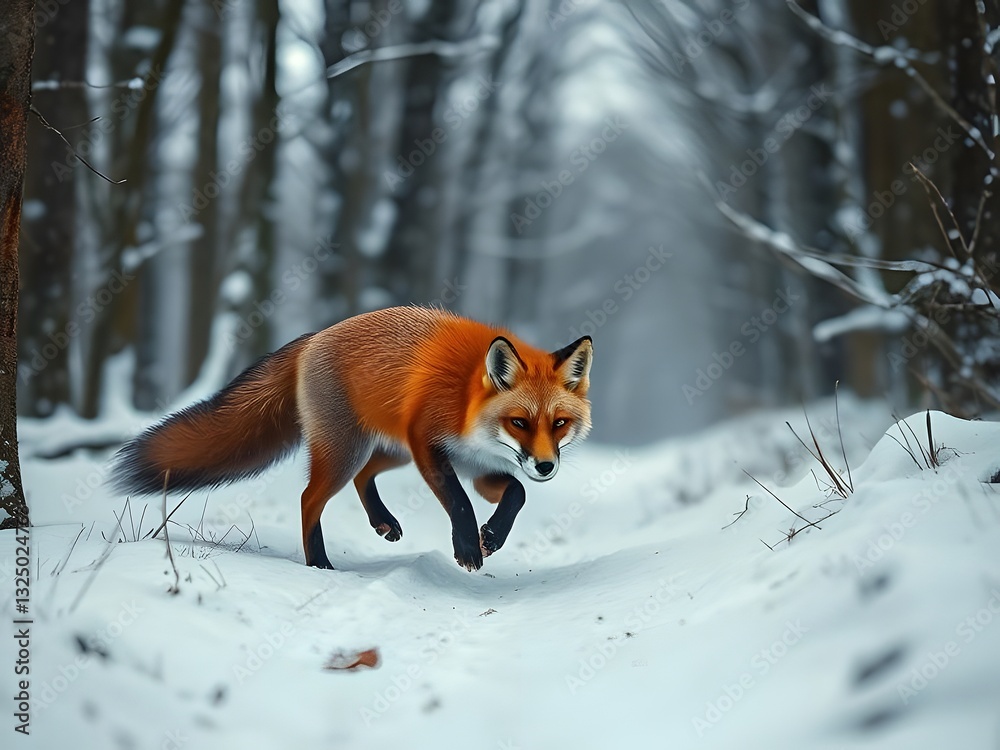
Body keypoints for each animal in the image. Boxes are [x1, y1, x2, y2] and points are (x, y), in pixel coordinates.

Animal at [110, 306, 593, 571]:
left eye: (558, 424)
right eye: (519, 422)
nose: (546, 466)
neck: (466, 406)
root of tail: (313, 338)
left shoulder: (481, 468)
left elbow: (517, 494)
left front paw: (491, 536)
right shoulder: (428, 443)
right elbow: (458, 501)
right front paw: (468, 548)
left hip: (384, 451)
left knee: (364, 477)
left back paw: (382, 522)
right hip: (350, 450)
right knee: (309, 498)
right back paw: (319, 564)